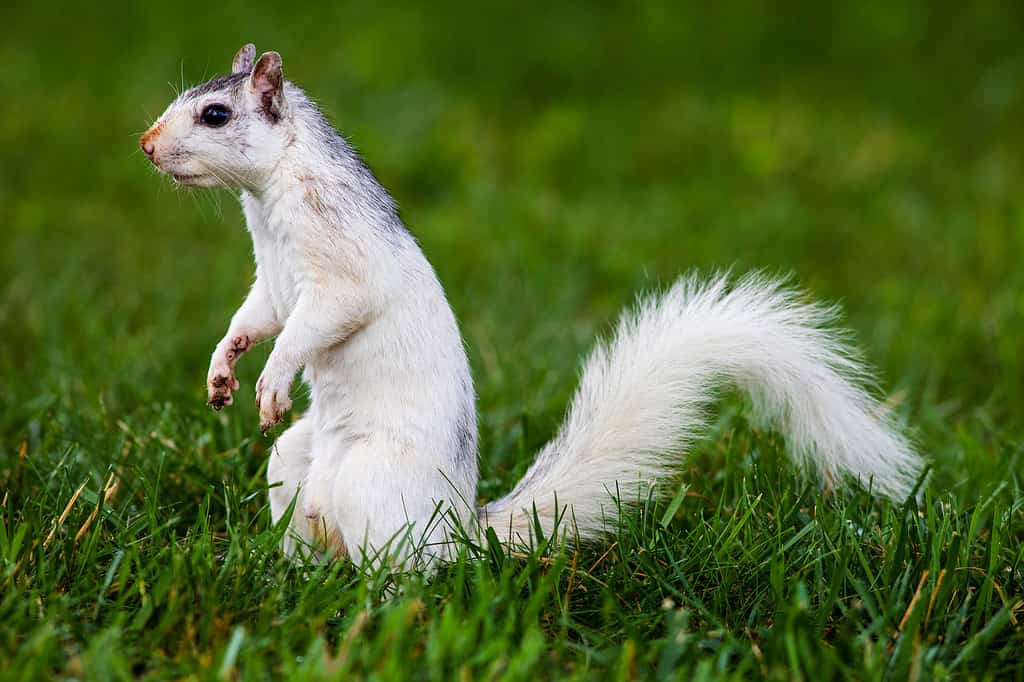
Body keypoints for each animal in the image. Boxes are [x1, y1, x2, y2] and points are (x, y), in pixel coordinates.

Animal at [142, 43, 921, 561]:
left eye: (215, 114)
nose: (147, 146)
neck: (269, 195)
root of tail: (457, 533)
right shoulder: (274, 278)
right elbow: (259, 317)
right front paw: (223, 366)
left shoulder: (339, 265)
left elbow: (318, 322)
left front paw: (273, 379)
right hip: (295, 467)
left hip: (371, 481)